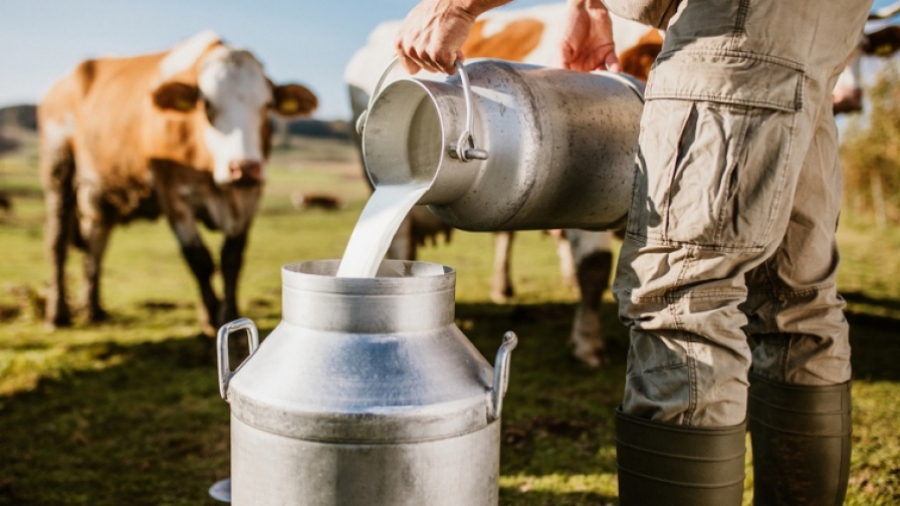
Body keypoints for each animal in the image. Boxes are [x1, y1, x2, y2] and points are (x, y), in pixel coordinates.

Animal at [39, 30, 320, 332]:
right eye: (206, 104)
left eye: (267, 105)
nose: (243, 167)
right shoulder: (173, 196)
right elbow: (199, 259)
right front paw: (210, 318)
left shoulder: (249, 196)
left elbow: (232, 259)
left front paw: (230, 315)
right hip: (59, 169)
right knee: (57, 243)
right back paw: (58, 313)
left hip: (101, 194)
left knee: (96, 244)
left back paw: (93, 308)